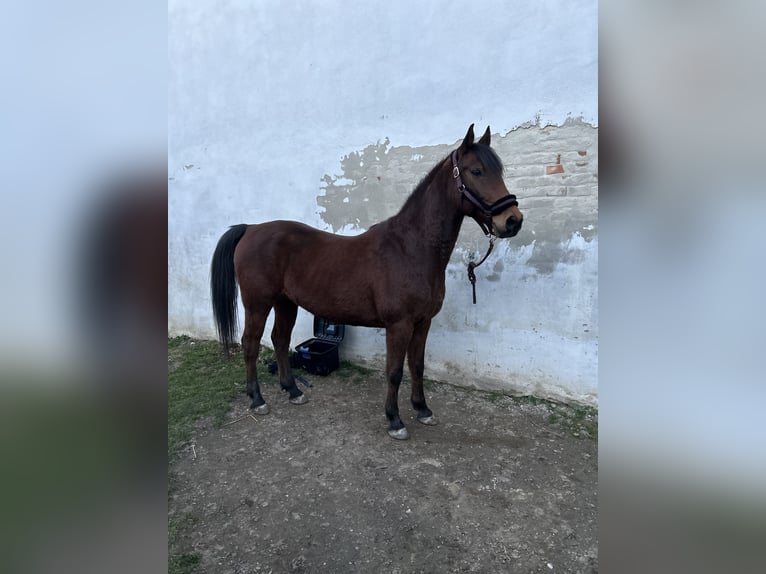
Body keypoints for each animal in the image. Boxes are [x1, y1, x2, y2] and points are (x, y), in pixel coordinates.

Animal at [210, 124, 523, 439]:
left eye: (499, 171)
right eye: (477, 171)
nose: (513, 220)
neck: (411, 247)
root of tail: (251, 229)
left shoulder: (423, 322)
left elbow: (417, 366)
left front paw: (423, 410)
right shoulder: (399, 325)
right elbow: (394, 372)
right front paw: (395, 420)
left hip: (286, 302)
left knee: (280, 339)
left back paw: (293, 391)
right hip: (258, 303)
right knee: (250, 343)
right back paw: (257, 400)